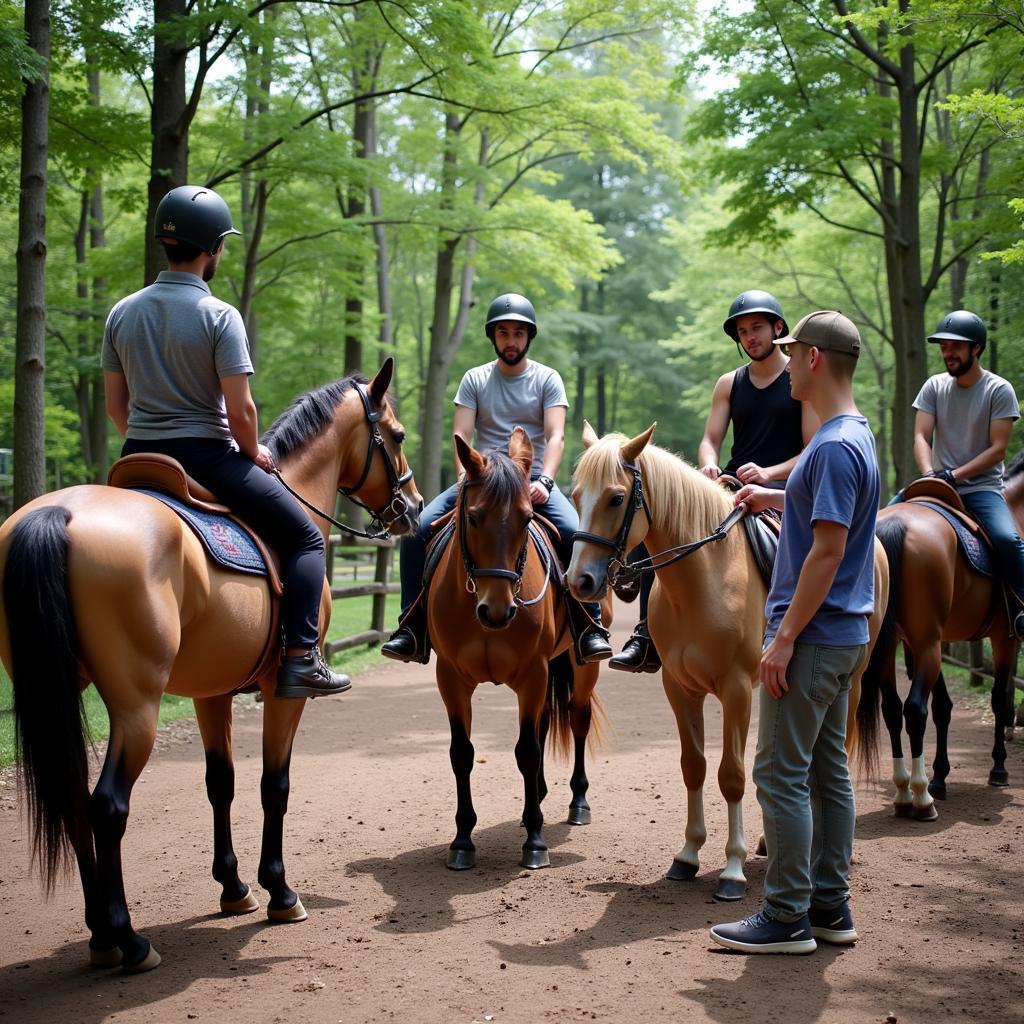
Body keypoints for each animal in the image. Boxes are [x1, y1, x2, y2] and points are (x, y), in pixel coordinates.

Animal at [0, 362, 419, 974]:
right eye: (398, 434)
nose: (411, 507)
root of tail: (62, 513)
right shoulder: (283, 693)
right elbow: (274, 786)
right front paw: (280, 893)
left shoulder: (210, 692)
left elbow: (220, 783)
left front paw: (234, 888)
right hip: (137, 707)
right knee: (107, 806)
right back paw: (128, 940)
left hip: (59, 695)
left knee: (74, 799)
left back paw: (100, 935)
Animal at [425, 428, 606, 868]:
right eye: (473, 517)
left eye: (526, 519)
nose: (498, 610)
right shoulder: (450, 678)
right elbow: (462, 753)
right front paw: (462, 841)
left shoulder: (533, 673)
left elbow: (526, 751)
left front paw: (535, 842)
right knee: (542, 727)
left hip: (581, 669)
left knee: (576, 720)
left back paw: (577, 803)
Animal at [565, 423, 884, 905]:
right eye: (576, 493)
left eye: (616, 498)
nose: (579, 580)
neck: (704, 580)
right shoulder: (680, 689)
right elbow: (693, 767)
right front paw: (687, 855)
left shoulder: (735, 689)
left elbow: (731, 775)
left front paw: (732, 870)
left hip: (853, 680)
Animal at [860, 475, 1019, 819]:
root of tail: (895, 524)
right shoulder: (1006, 637)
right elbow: (999, 699)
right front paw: (999, 767)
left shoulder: (935, 642)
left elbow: (943, 707)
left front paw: (941, 776)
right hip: (927, 644)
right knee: (914, 709)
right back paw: (921, 799)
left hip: (897, 645)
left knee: (892, 709)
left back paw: (904, 792)